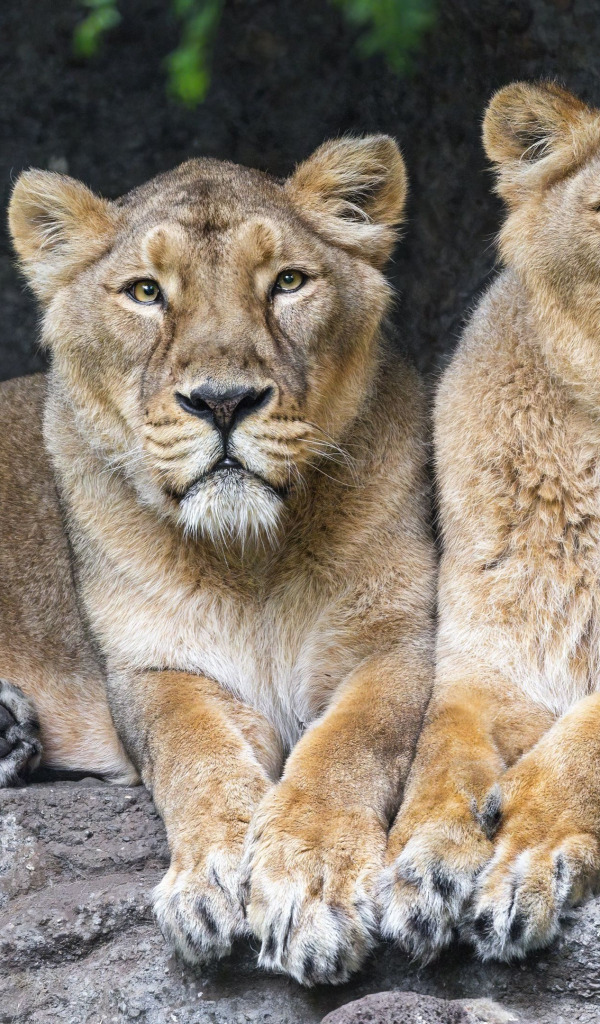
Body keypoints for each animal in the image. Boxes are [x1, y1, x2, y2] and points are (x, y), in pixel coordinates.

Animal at [0, 136, 435, 985]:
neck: (251, 558)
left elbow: (349, 745)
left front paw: (311, 881)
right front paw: (219, 874)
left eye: (288, 281)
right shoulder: (154, 669)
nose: (224, 401)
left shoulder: (400, 643)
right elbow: (195, 755)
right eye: (145, 292)